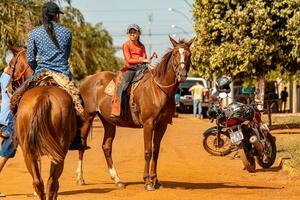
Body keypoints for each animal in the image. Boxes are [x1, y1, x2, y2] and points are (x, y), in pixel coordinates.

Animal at [9, 47, 77, 199]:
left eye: (10, 65)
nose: (8, 88)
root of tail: (43, 96)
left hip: (30, 152)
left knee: (39, 182)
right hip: (58, 152)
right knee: (51, 182)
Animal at [77, 36, 193, 191]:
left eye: (189, 54)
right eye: (175, 54)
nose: (182, 75)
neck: (158, 89)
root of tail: (87, 80)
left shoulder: (162, 126)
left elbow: (156, 151)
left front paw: (155, 180)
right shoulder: (148, 124)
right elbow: (148, 151)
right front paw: (147, 182)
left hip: (108, 121)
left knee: (106, 147)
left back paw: (117, 180)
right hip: (87, 117)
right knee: (82, 144)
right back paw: (80, 178)